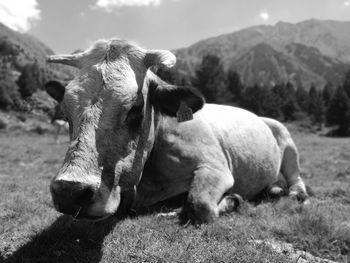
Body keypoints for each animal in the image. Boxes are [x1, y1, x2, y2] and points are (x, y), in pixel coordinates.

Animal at [45, 39, 306, 224]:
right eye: (66, 113)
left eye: (135, 108)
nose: (69, 191)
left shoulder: (216, 168)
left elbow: (199, 204)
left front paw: (232, 200)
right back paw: (273, 189)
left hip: (287, 141)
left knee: (296, 178)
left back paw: (292, 192)